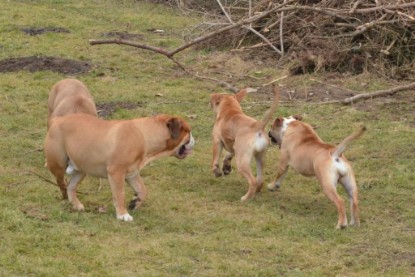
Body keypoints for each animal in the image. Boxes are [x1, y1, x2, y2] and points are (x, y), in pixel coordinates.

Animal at [45, 112, 195, 220]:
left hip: (81, 169)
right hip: (58, 163)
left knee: (71, 186)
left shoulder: (132, 173)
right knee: (61, 182)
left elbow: (142, 189)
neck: (144, 135)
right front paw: (123, 215)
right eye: (189, 131)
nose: (194, 140)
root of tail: (57, 120)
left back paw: (76, 205)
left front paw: (135, 202)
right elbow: (120, 194)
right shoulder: (116, 173)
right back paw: (65, 198)